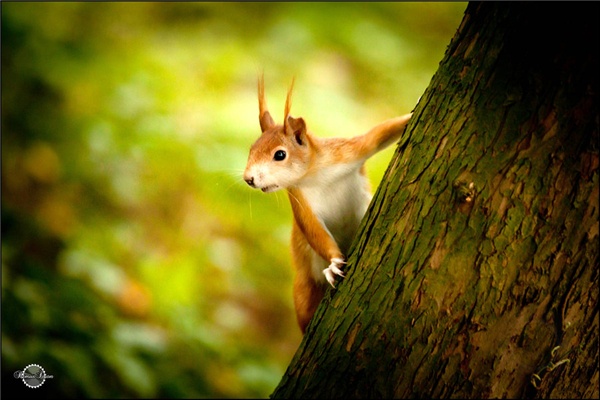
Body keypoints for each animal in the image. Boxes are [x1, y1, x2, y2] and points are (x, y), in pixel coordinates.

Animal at [244, 76, 412, 334]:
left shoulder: (349, 151)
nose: (248, 179)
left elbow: (379, 133)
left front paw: (410, 116)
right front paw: (334, 264)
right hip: (304, 291)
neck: (316, 174)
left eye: (280, 155)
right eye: (251, 149)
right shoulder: (300, 201)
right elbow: (315, 233)